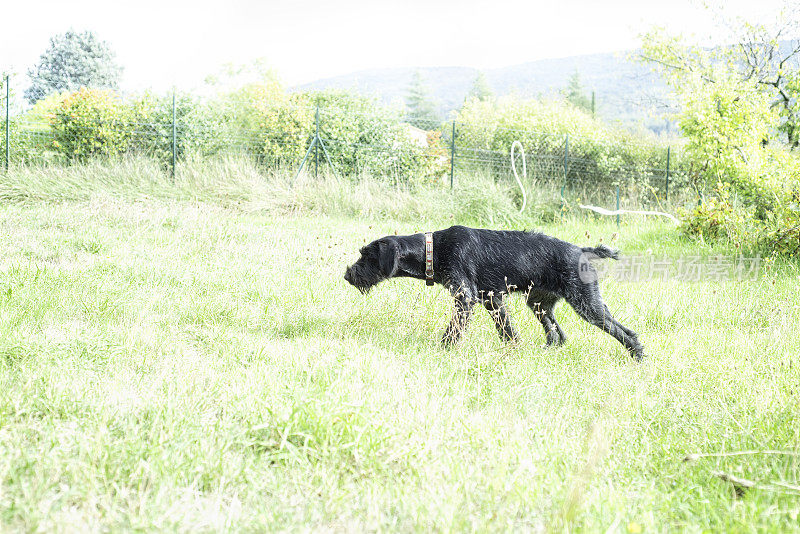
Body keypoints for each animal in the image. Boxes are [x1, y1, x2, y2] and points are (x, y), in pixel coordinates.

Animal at [346, 224, 648, 362]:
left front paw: (443, 349)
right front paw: (513, 349)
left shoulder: (465, 298)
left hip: (587, 305)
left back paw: (638, 355)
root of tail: (582, 251)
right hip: (539, 304)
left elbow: (454, 329)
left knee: (622, 330)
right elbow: (506, 330)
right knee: (557, 333)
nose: (347, 275)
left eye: (366, 256)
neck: (434, 249)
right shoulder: (492, 300)